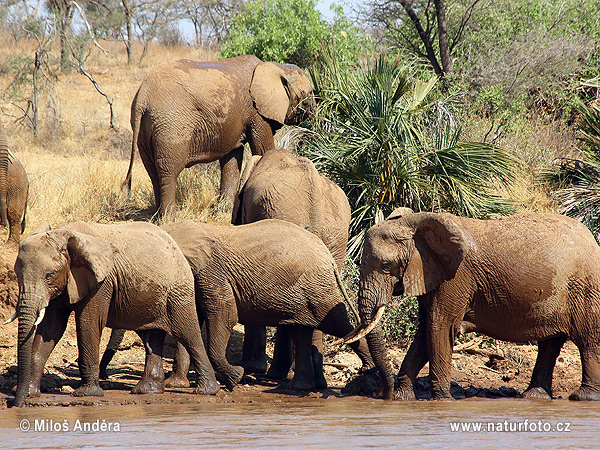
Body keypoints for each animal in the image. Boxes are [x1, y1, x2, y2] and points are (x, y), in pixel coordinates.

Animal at [8, 220, 220, 406]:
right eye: (17, 274)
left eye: (49, 275)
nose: (16, 404)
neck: (66, 235)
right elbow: (50, 329)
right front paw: (29, 392)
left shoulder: (102, 282)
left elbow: (88, 322)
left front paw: (86, 393)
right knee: (151, 336)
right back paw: (147, 390)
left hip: (178, 290)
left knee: (188, 334)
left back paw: (207, 390)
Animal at [123, 53, 316, 215]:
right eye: (308, 94)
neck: (277, 67)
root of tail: (142, 96)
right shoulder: (257, 113)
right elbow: (263, 149)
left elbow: (232, 159)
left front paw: (223, 212)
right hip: (171, 124)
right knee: (168, 170)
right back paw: (169, 218)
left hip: (144, 129)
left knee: (152, 171)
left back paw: (157, 217)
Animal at [162, 218, 372, 390]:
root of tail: (328, 255)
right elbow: (192, 320)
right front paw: (175, 384)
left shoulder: (212, 273)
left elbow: (225, 315)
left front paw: (236, 378)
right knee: (302, 330)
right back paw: (299, 388)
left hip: (318, 286)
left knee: (338, 324)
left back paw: (369, 370)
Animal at [340, 207, 600, 400]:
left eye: (385, 266)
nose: (384, 396)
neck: (415, 222)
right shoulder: (431, 273)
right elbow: (424, 331)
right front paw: (403, 398)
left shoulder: (456, 277)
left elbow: (439, 326)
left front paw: (442, 400)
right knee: (550, 343)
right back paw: (533, 397)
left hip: (585, 288)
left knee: (588, 342)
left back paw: (582, 397)